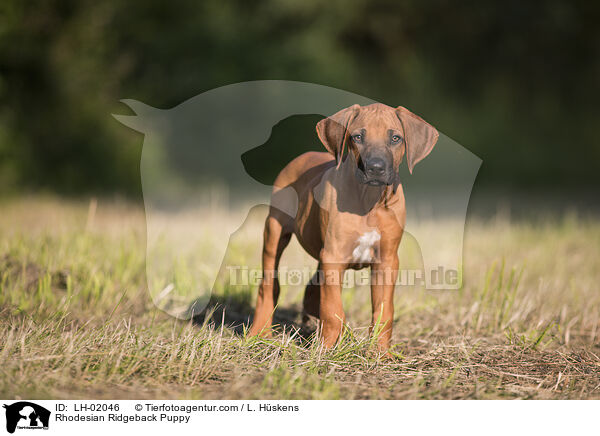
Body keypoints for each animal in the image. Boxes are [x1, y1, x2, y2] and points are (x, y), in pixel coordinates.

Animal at [248, 102, 440, 354]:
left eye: (395, 138)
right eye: (358, 137)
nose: (375, 168)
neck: (369, 201)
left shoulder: (386, 260)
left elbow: (384, 310)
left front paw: (381, 352)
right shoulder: (334, 254)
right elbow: (333, 309)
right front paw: (326, 350)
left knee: (313, 285)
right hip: (274, 231)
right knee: (269, 284)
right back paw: (259, 333)